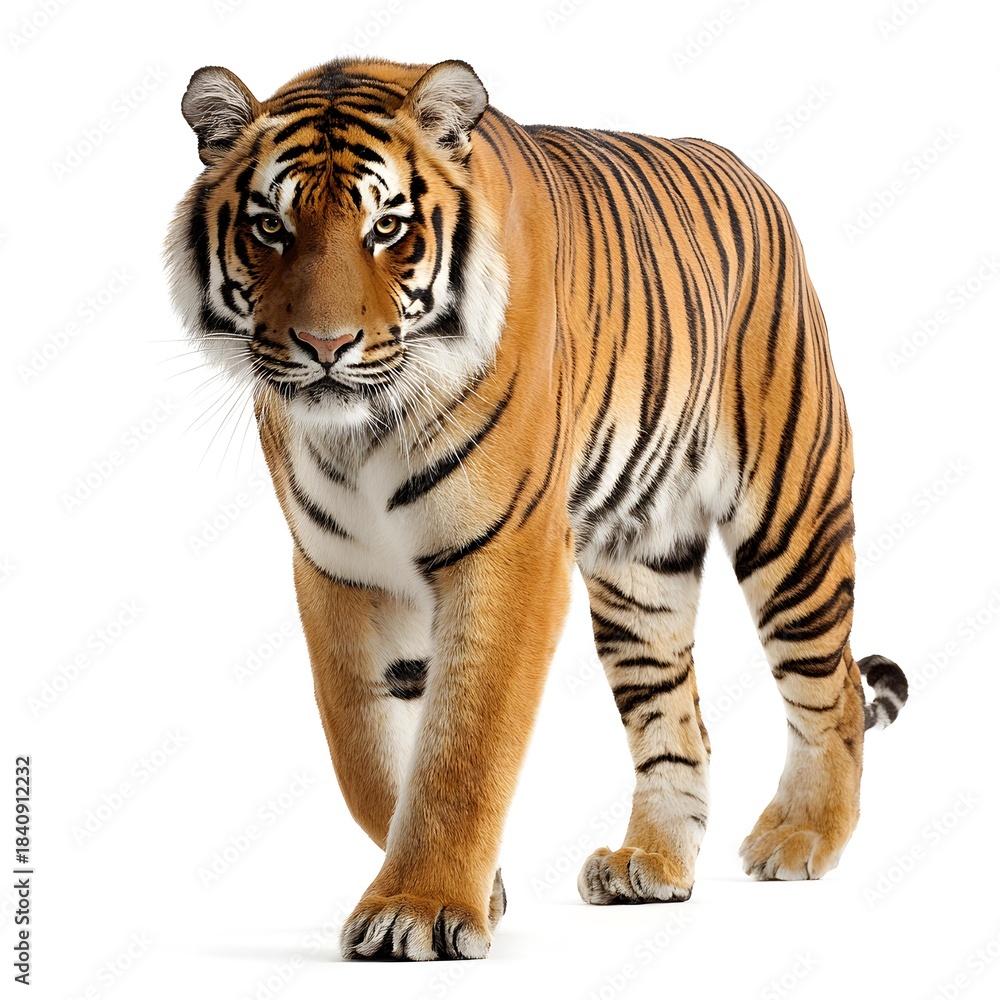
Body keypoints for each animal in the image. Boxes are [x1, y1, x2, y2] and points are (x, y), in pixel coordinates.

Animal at [166, 57, 909, 961]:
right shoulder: (337, 570)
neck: (363, 432)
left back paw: (801, 837)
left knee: (830, 689)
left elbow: (463, 749)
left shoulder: (510, 555)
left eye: (387, 228)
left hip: (791, 517)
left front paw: (420, 907)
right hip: (640, 571)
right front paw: (475, 889)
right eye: (270, 228)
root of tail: (748, 172)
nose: (326, 346)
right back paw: (649, 865)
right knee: (681, 723)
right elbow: (365, 753)